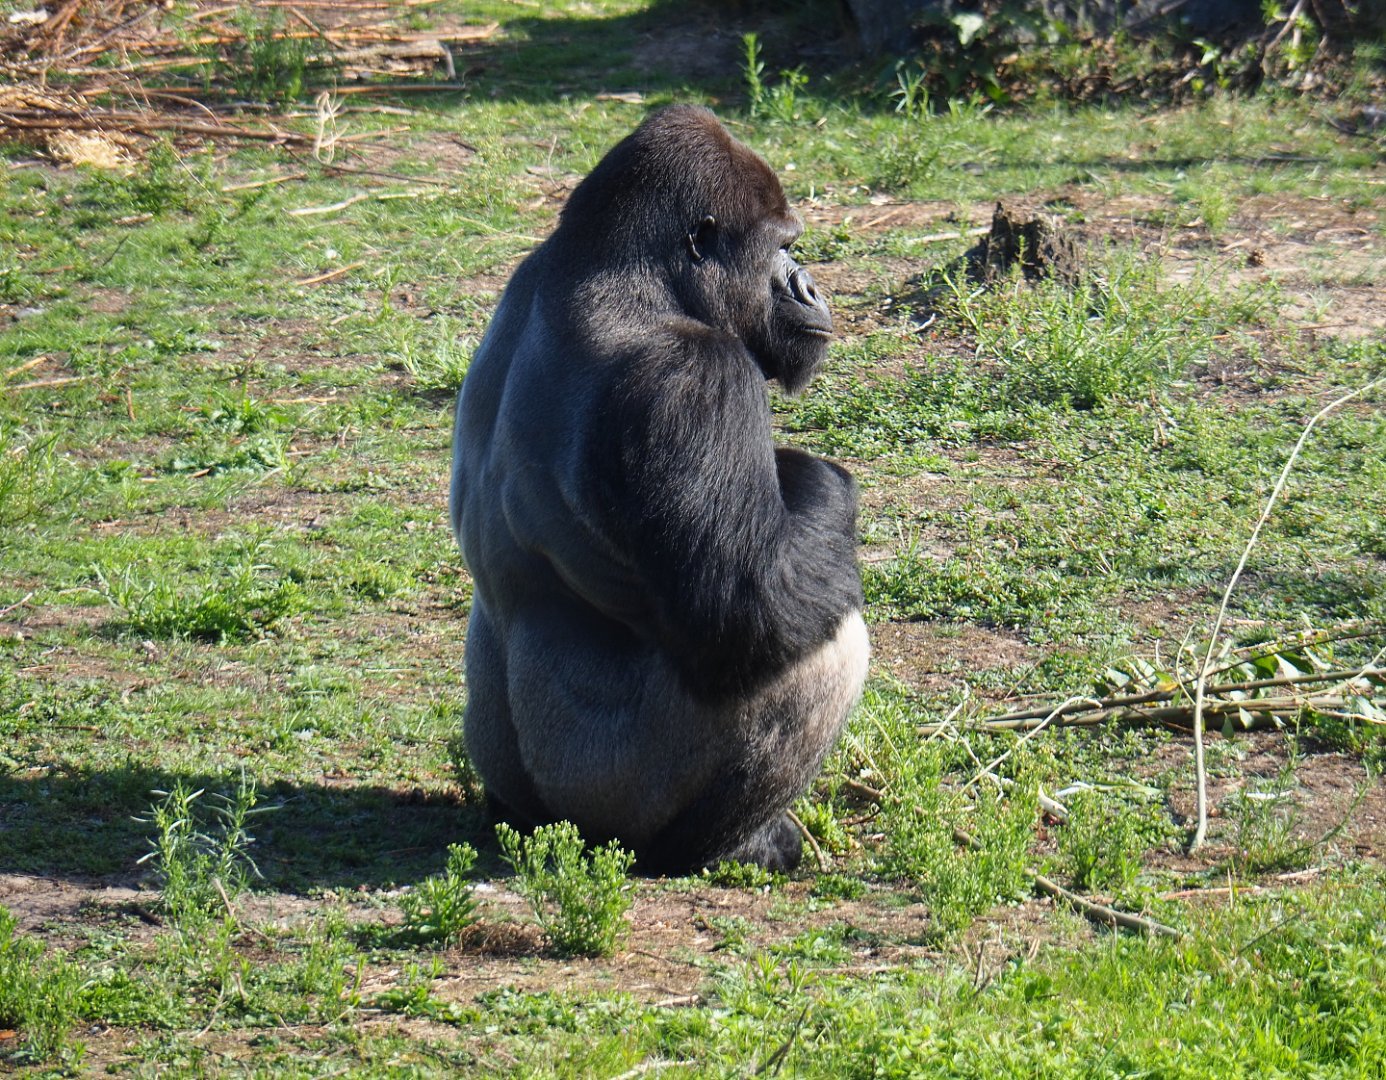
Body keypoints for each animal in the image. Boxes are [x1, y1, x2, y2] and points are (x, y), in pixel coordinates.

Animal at [449, 105, 867, 873]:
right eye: (783, 247)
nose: (809, 286)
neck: (626, 273)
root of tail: (539, 826)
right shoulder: (696, 376)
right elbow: (751, 606)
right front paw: (820, 481)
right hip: (610, 818)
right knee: (825, 641)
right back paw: (732, 844)